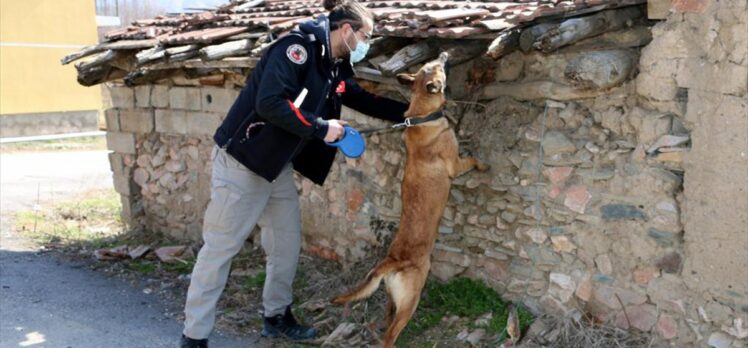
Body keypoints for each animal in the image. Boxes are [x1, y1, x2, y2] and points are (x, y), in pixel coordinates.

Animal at [332, 52, 486, 348]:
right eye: (436, 67)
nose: (445, 53)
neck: (421, 117)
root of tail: (393, 260)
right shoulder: (455, 164)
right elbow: (472, 159)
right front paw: (483, 165)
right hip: (411, 299)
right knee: (390, 334)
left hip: (394, 298)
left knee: (387, 316)